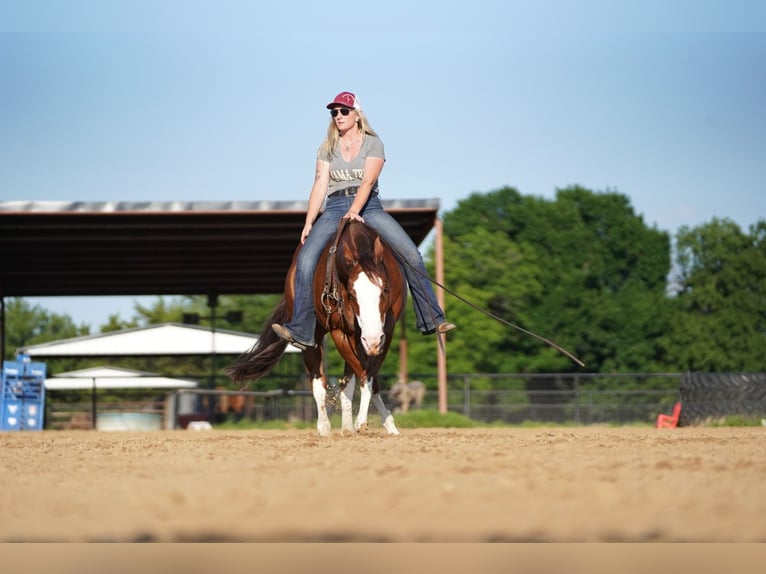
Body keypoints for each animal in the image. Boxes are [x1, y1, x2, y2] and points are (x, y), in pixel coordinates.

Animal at [225, 220, 408, 436]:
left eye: (385, 289)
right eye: (352, 294)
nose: (371, 341)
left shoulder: (385, 331)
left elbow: (368, 375)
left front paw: (384, 423)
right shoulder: (340, 333)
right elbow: (364, 375)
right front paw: (362, 421)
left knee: (348, 381)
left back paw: (347, 428)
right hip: (313, 338)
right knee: (318, 380)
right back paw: (325, 427)